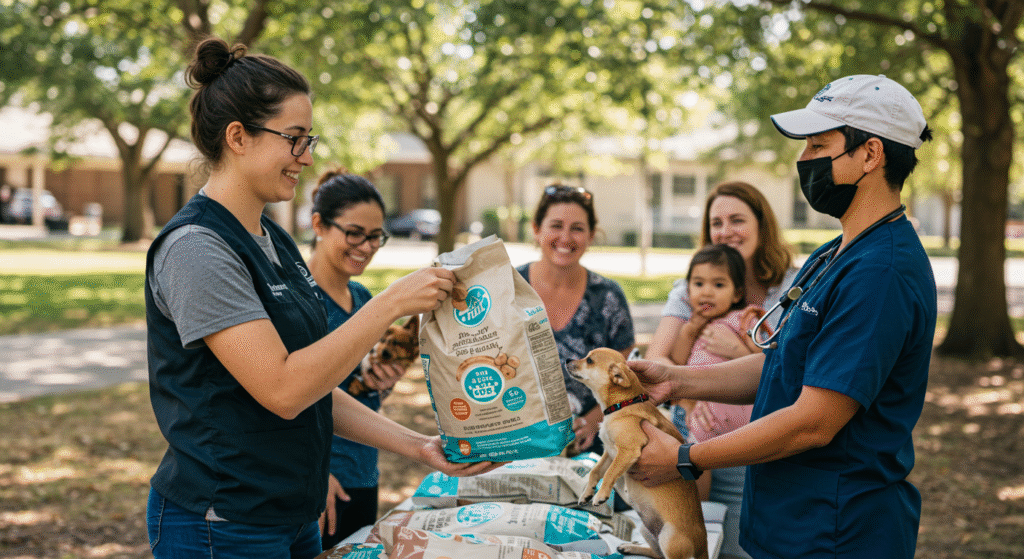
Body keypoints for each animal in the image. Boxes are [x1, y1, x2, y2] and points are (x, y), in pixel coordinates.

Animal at [566, 348, 708, 559]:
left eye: (589, 360)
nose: (567, 359)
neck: (621, 405)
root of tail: (703, 546)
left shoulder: (627, 450)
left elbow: (609, 473)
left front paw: (600, 495)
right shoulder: (609, 452)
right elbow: (596, 471)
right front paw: (587, 493)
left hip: (669, 538)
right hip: (646, 530)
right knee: (657, 554)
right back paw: (630, 547)